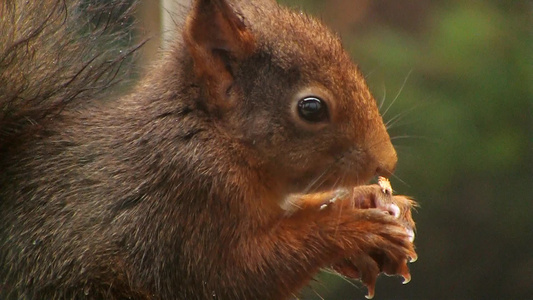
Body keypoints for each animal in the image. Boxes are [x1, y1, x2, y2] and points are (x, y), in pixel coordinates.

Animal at [0, 0, 416, 300]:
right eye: (311, 108)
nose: (388, 162)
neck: (214, 136)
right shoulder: (185, 199)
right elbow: (239, 275)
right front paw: (355, 227)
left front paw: (367, 200)